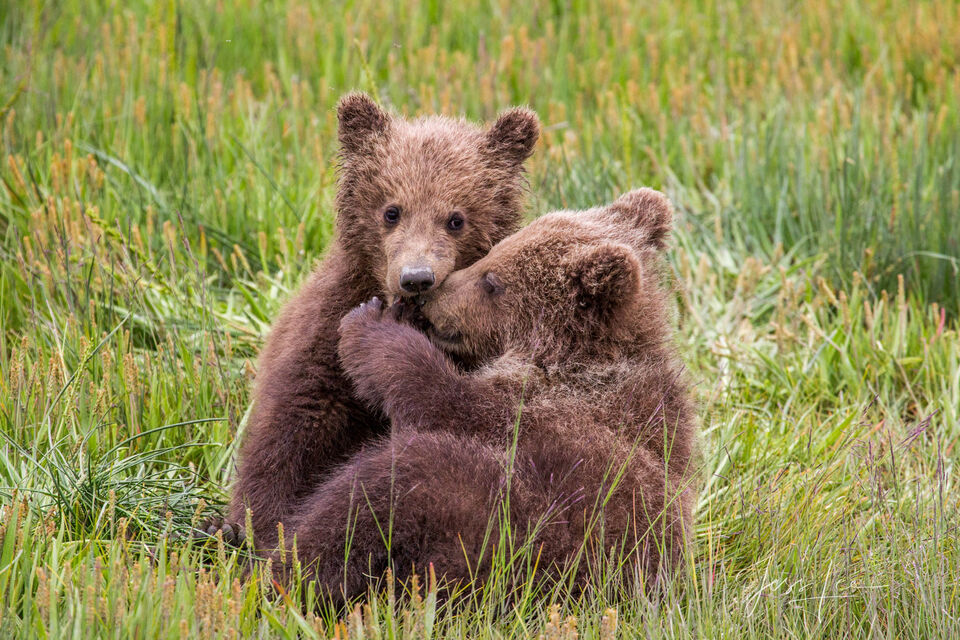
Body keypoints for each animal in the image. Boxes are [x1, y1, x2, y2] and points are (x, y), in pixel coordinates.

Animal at [217, 93, 541, 550]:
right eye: (392, 211)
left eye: (456, 218)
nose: (416, 278)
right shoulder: (325, 335)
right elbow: (292, 426)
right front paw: (259, 523)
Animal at [276, 188, 697, 605]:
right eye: (493, 252)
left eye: (492, 282)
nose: (426, 296)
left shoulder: (551, 418)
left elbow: (445, 403)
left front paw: (373, 325)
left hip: (516, 547)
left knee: (391, 482)